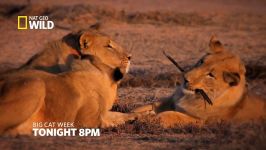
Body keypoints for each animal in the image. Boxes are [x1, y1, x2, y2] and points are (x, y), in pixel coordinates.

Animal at [0, 43, 136, 135]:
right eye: (109, 46)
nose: (130, 57)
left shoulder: (102, 113)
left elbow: (119, 115)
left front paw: (136, 115)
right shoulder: (87, 121)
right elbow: (111, 122)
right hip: (36, 84)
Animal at [133, 36, 266, 126]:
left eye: (210, 75)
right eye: (201, 62)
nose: (185, 78)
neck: (191, 97)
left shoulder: (201, 121)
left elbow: (170, 115)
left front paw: (145, 119)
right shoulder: (170, 101)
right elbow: (146, 106)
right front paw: (134, 114)